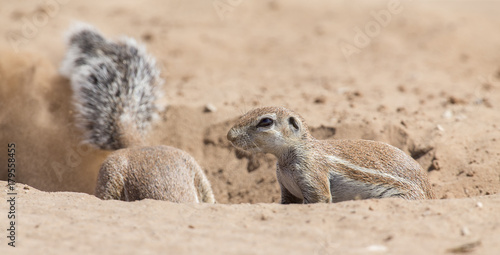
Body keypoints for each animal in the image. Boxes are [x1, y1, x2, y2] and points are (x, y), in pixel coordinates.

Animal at [227, 106, 434, 204]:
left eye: (266, 122)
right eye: (246, 113)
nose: (229, 136)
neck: (286, 160)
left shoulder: (312, 172)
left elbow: (320, 197)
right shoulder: (286, 189)